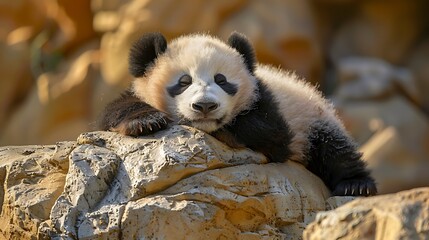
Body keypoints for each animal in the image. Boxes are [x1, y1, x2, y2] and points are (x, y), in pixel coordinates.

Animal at [100, 31, 374, 197]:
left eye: (221, 80)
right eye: (184, 81)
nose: (205, 106)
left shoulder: (267, 99)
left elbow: (271, 131)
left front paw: (228, 132)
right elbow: (117, 109)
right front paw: (146, 122)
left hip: (312, 118)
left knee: (335, 148)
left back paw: (355, 185)